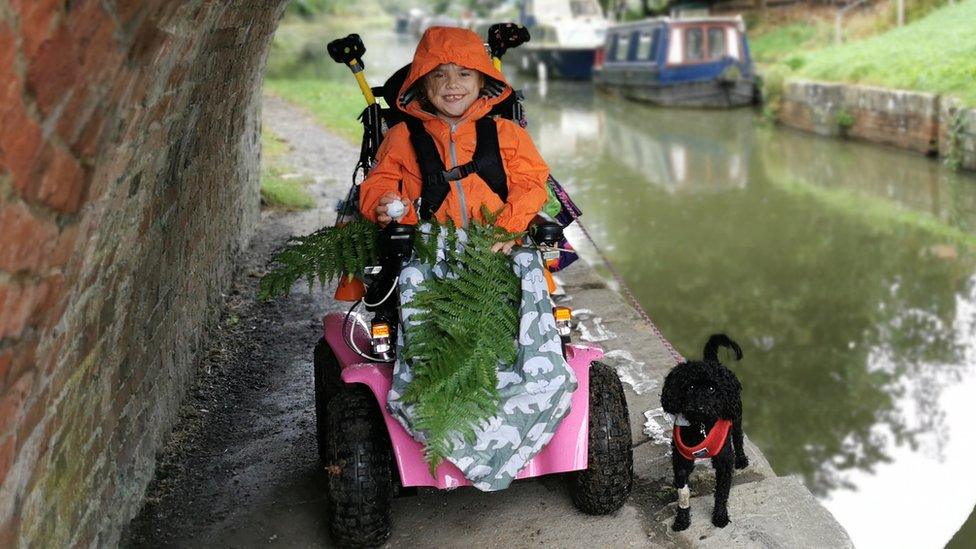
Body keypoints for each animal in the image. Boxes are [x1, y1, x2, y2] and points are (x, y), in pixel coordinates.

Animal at [660, 332, 752, 528]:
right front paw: (682, 520)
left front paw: (720, 516)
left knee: (738, 439)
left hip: (737, 418)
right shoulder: (681, 462)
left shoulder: (724, 462)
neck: (701, 425)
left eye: (711, 388)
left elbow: (722, 492)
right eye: (690, 386)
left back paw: (741, 460)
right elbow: (683, 494)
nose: (699, 405)